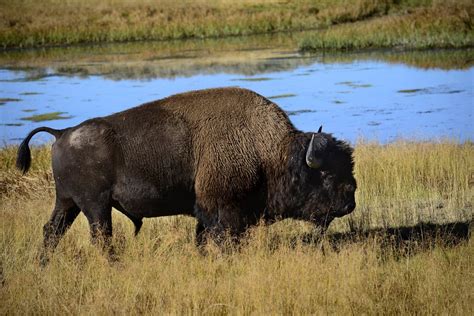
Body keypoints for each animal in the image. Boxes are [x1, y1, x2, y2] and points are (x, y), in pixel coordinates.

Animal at [15, 86, 356, 262]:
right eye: (327, 175)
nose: (350, 202)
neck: (270, 151)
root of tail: (62, 133)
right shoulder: (224, 211)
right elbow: (223, 238)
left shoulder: (207, 212)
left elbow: (203, 238)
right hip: (95, 206)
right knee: (100, 236)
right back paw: (114, 265)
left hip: (68, 203)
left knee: (52, 231)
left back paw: (43, 264)